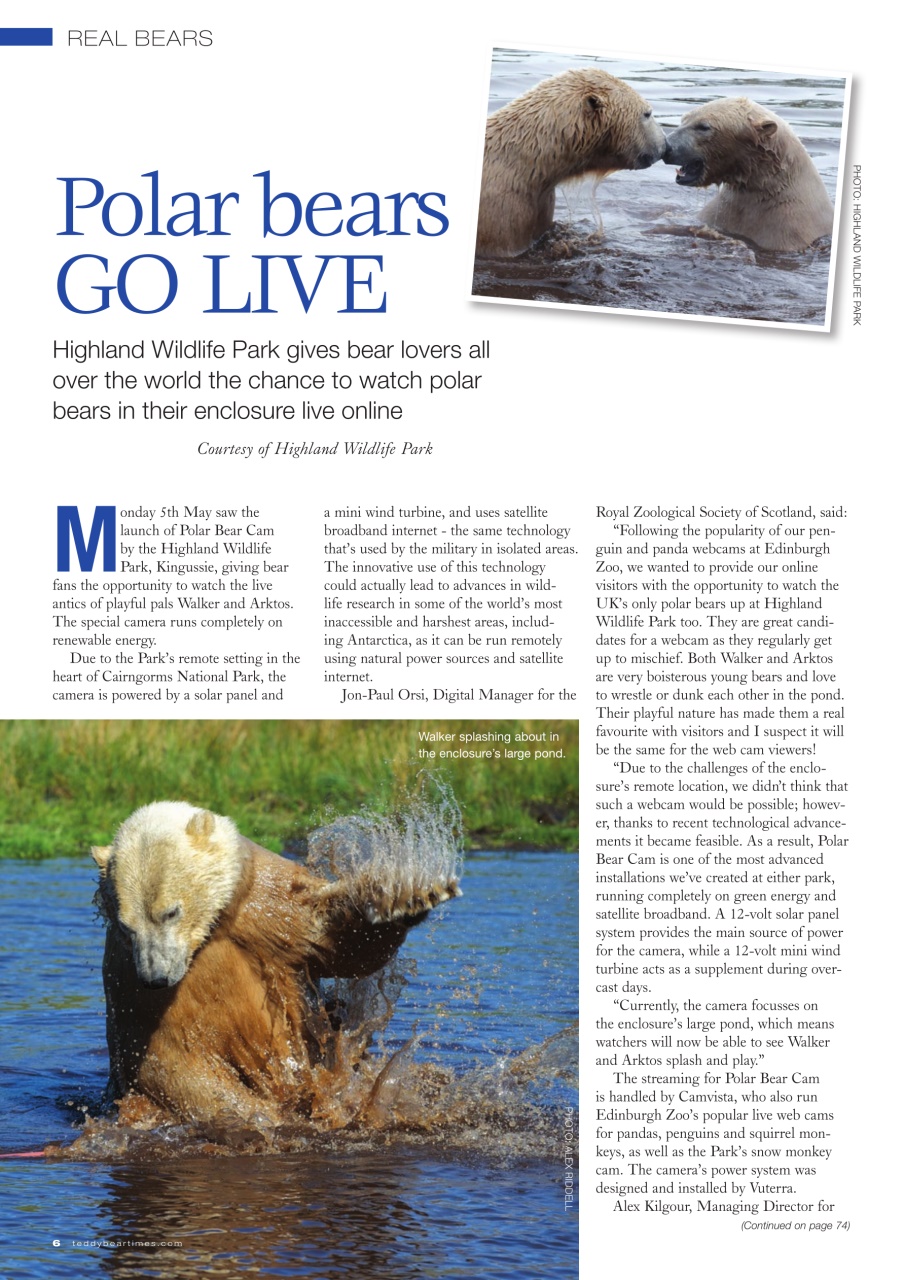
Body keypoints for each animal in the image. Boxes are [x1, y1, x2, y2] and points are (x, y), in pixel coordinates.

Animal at [91, 801, 461, 1129]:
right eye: (126, 925)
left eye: (170, 912)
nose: (156, 977)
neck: (210, 936)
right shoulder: (132, 995)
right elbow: (179, 1072)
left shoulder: (262, 902)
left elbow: (337, 941)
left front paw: (411, 896)